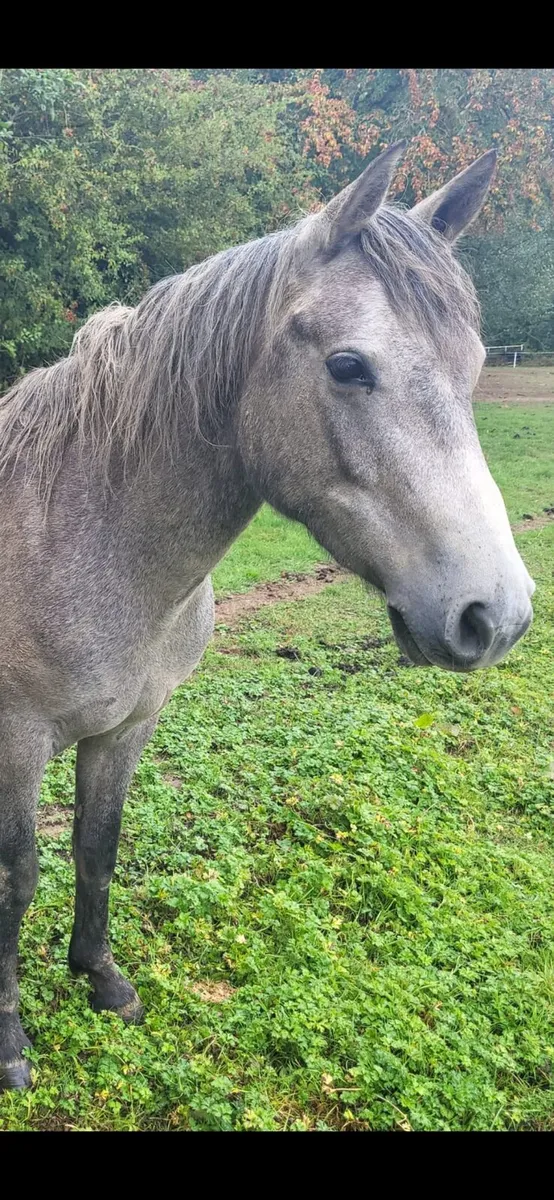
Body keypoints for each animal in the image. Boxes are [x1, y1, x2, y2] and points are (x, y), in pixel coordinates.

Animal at [0, 142, 534, 1090]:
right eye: (349, 366)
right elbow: (18, 879)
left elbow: (97, 848)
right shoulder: (16, 742)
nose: (494, 615)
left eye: (475, 365)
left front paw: (101, 979)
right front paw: (10, 1043)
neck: (82, 535)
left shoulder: (129, 726)